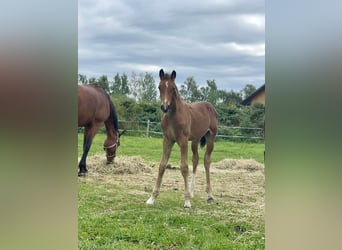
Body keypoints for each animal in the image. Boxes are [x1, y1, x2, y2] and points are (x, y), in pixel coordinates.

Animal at [146, 69, 218, 208]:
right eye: (159, 87)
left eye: (173, 88)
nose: (164, 107)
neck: (172, 116)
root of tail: (210, 106)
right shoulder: (167, 140)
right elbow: (162, 165)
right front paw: (152, 198)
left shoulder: (183, 141)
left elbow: (184, 167)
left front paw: (187, 202)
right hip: (195, 140)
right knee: (196, 159)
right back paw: (192, 191)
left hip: (211, 137)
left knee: (206, 161)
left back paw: (210, 195)